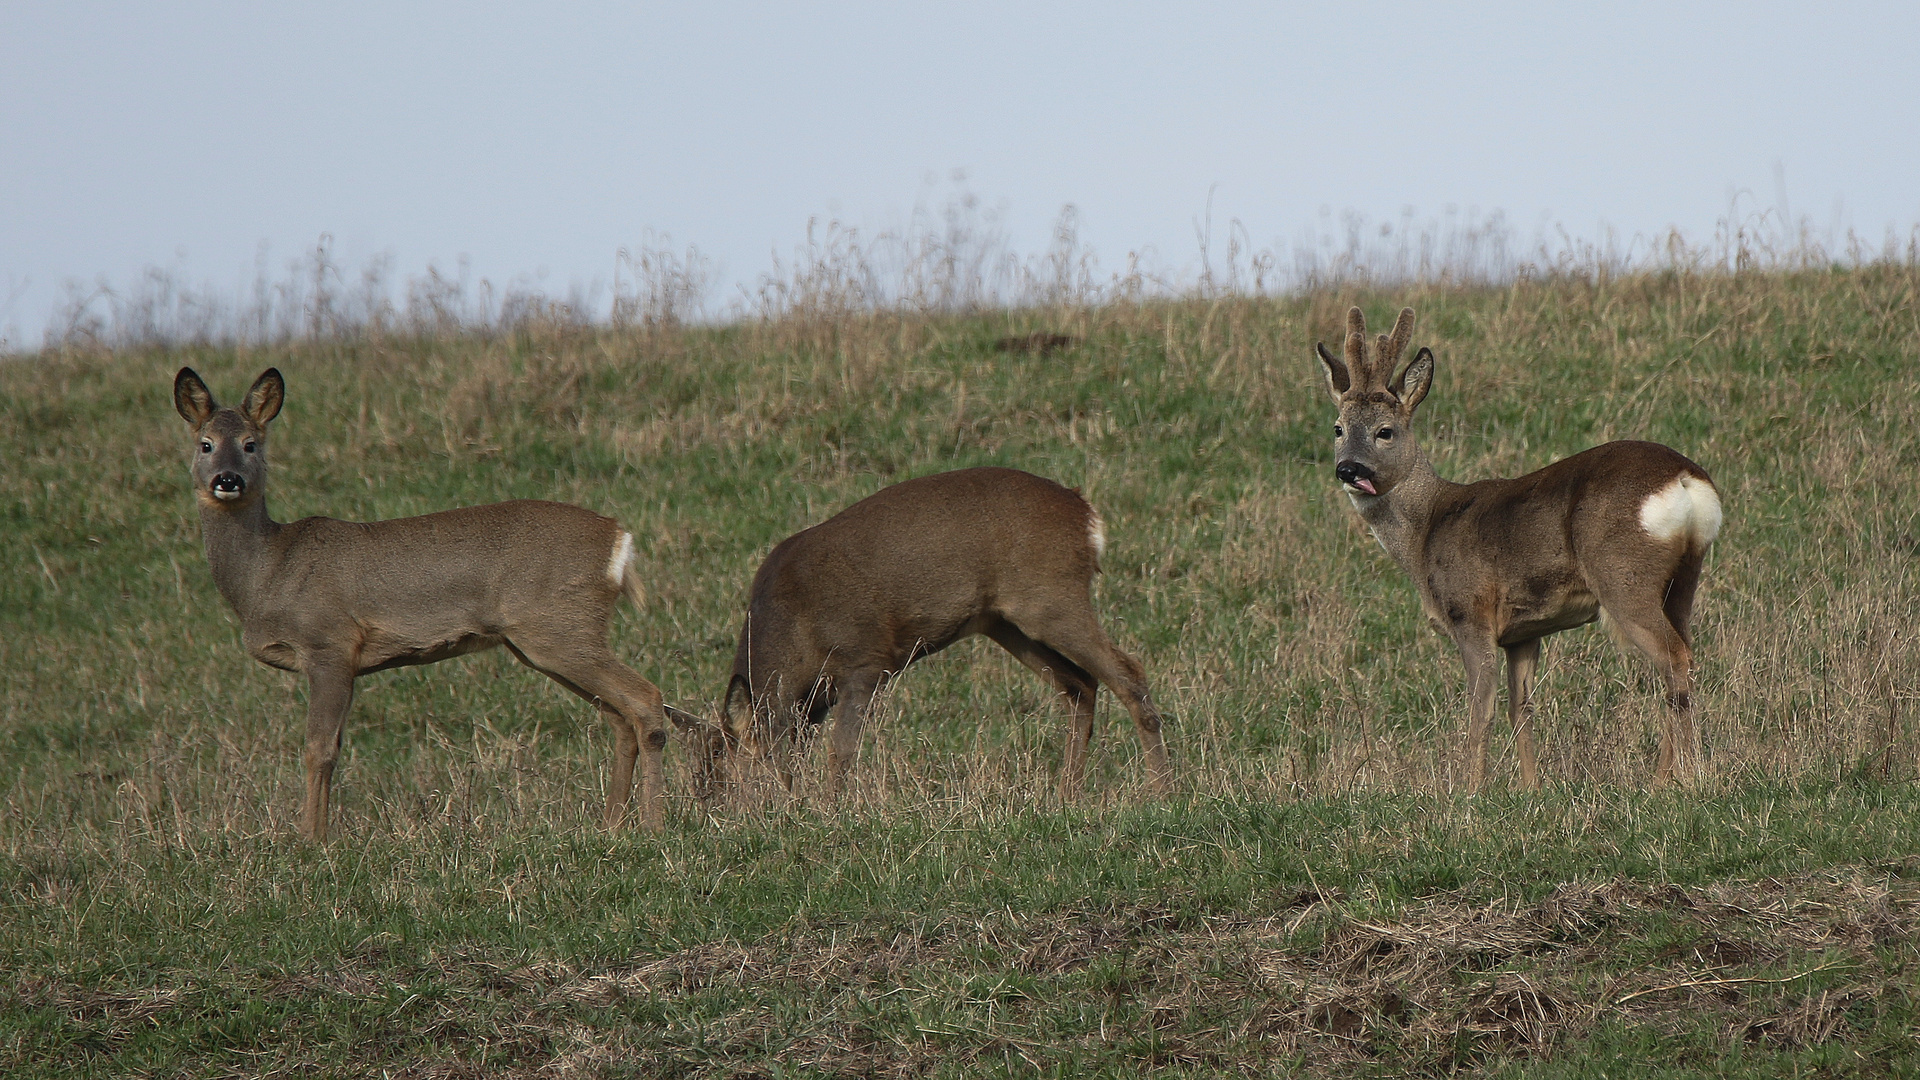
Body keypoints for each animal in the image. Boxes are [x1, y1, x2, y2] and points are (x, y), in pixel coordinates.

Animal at [172, 365, 679, 837]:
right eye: (206, 444)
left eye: (251, 443)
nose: (228, 479)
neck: (269, 571)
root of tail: (619, 540)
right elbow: (331, 747)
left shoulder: (329, 643)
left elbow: (319, 749)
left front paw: (311, 839)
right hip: (547, 640)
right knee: (619, 716)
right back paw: (612, 824)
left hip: (558, 627)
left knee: (646, 700)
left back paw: (653, 825)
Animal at [683, 465, 1175, 799]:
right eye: (699, 777)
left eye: (725, 776)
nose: (721, 821)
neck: (792, 639)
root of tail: (1086, 513)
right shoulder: (813, 702)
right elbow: (806, 755)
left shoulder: (865, 658)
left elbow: (841, 750)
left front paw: (833, 808)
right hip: (1004, 622)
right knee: (1080, 684)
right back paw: (1066, 793)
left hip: (1050, 597)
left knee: (1128, 672)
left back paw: (1160, 792)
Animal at [1320, 307, 1728, 787]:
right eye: (1338, 428)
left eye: (1385, 431)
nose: (1349, 469)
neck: (1426, 530)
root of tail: (1686, 479)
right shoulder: (1525, 631)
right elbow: (1522, 709)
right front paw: (1531, 788)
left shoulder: (1470, 611)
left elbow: (1481, 710)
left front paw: (1469, 790)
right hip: (1684, 579)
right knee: (1682, 659)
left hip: (1622, 575)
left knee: (1673, 658)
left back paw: (1668, 779)